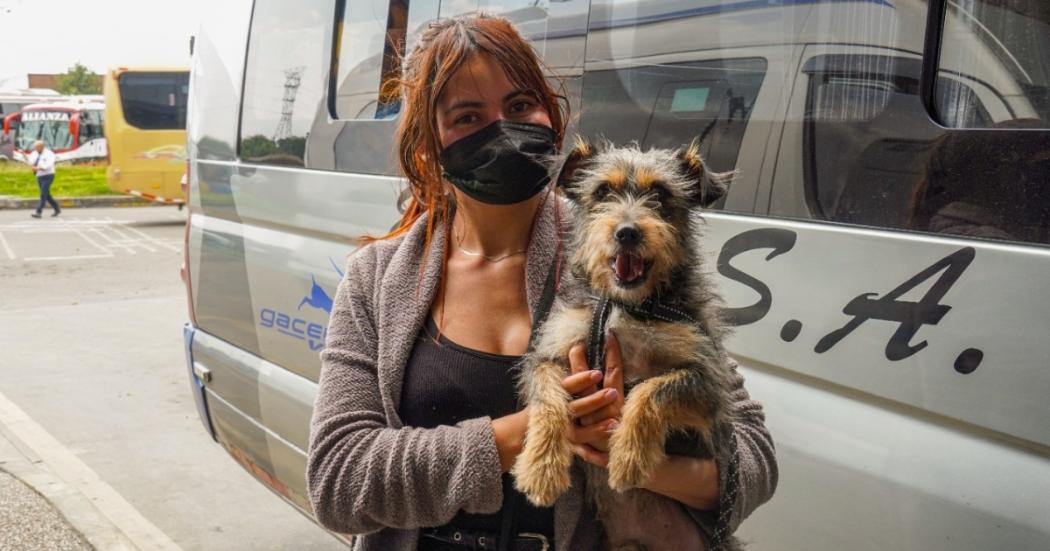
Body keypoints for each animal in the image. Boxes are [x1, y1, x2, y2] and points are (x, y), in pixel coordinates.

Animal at [512, 137, 743, 549]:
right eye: (603, 191)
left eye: (661, 193)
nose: (627, 233)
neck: (625, 304)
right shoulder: (547, 354)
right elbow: (549, 400)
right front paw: (540, 470)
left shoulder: (711, 381)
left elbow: (651, 391)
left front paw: (629, 457)